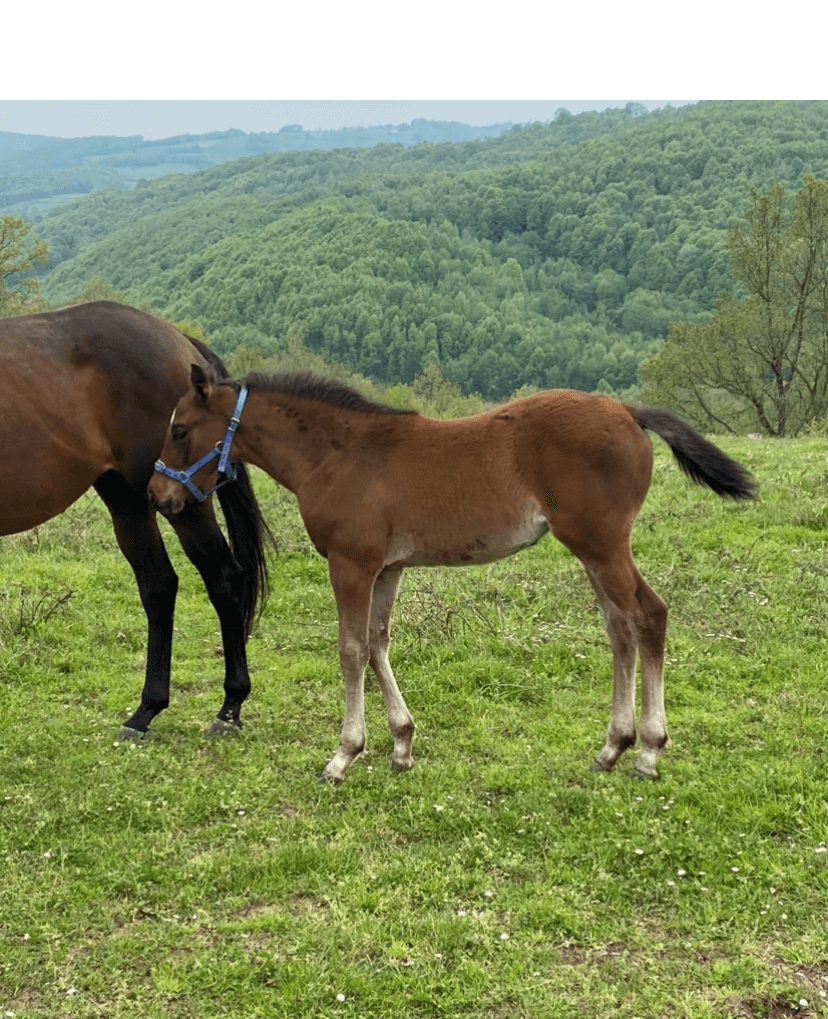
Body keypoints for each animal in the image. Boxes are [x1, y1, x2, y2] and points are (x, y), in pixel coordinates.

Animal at [0, 301, 268, 741]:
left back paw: (229, 707)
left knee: (223, 579)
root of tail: (177, 339)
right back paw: (146, 711)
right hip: (127, 501)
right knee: (159, 586)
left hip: (182, 503)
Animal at [148, 366, 757, 778]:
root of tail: (629, 411)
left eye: (179, 430)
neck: (338, 454)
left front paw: (344, 754)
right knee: (619, 628)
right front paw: (401, 744)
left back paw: (649, 750)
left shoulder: (351, 564)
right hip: (592, 550)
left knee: (648, 616)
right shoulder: (388, 567)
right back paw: (612, 746)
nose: (157, 496)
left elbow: (350, 648)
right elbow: (378, 641)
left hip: (602, 545)